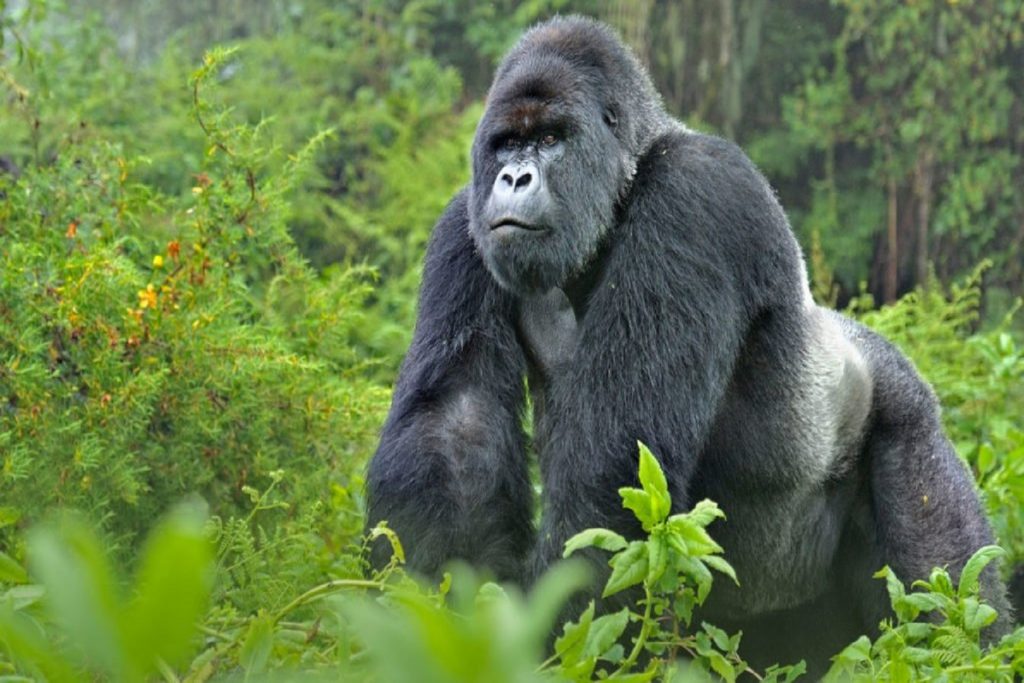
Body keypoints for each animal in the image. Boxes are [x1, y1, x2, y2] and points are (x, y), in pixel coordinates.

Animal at [364, 15, 1011, 671]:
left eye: (549, 140)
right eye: (506, 144)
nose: (514, 177)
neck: (627, 180)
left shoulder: (694, 193)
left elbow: (613, 466)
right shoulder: (463, 223)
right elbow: (454, 428)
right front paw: (429, 623)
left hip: (907, 424)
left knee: (946, 589)